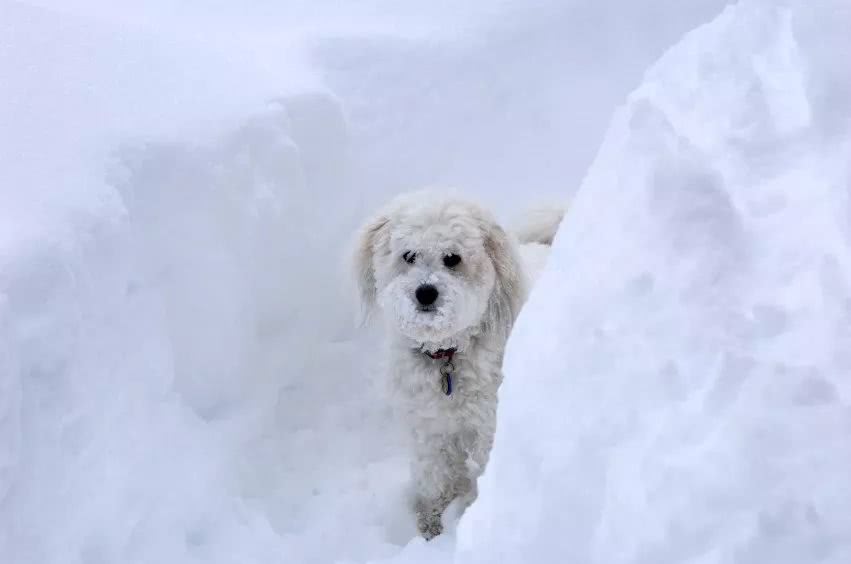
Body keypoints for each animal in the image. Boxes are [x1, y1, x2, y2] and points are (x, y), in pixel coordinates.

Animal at [354, 192, 564, 540]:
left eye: (452, 258)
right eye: (408, 255)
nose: (425, 292)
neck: (447, 353)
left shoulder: (488, 424)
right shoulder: (429, 427)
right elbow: (435, 474)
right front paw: (433, 521)